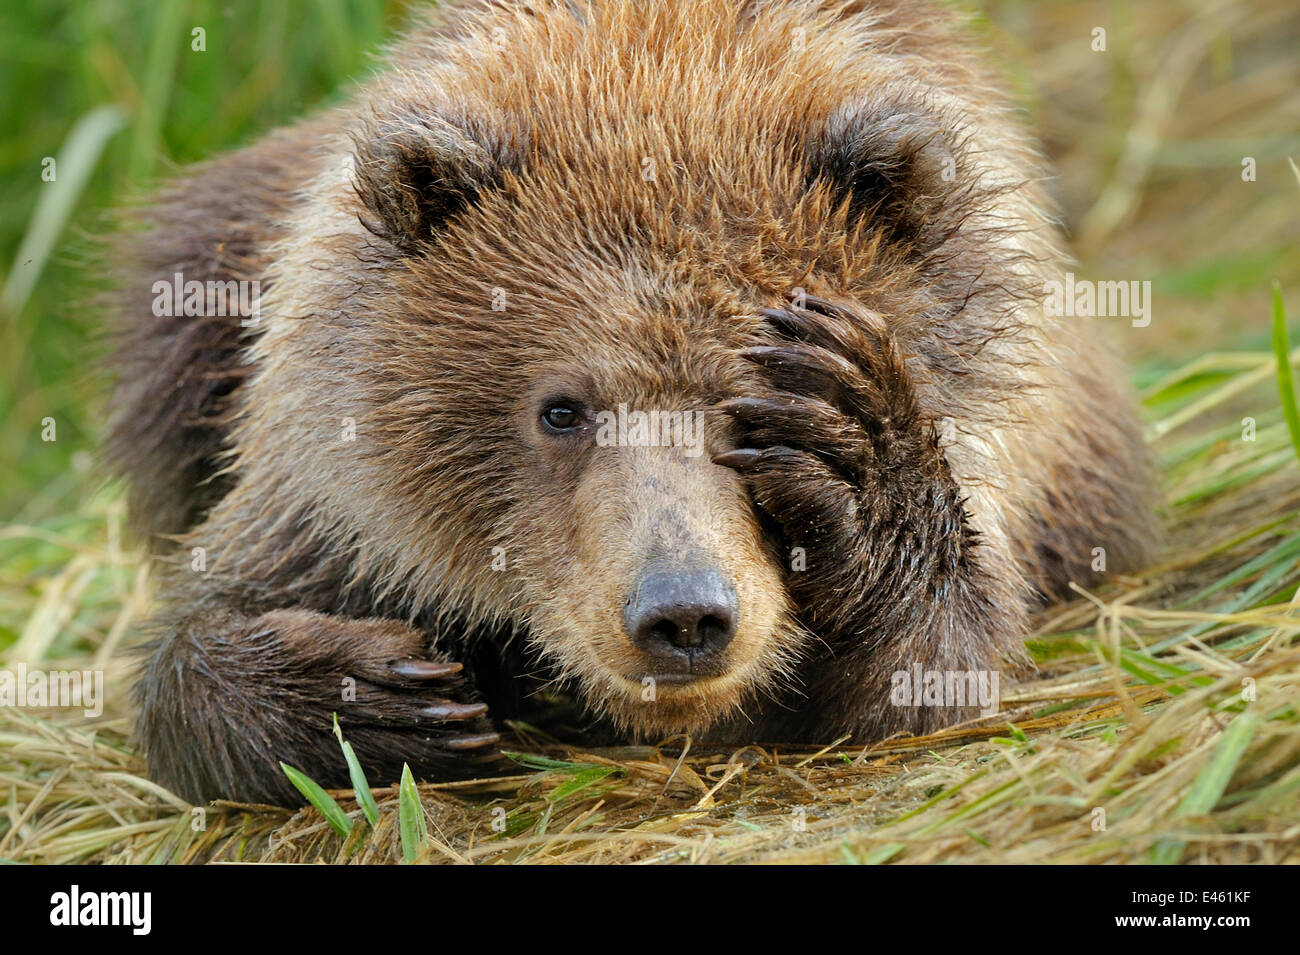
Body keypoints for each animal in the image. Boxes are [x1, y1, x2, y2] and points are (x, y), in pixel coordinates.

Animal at [104, 0, 1159, 805]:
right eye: (562, 408)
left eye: (749, 402)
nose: (682, 613)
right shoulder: (330, 485)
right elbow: (199, 635)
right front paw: (378, 691)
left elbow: (934, 672)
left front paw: (851, 445)